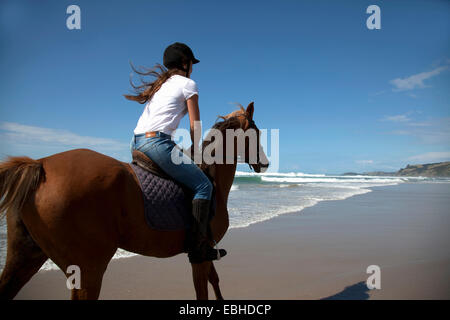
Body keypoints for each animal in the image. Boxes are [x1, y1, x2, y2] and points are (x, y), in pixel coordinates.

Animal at [0, 102, 268, 300]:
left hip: (25, 257)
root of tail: (39, 164)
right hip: (88, 270)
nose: (265, 164)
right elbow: (203, 290)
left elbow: (215, 281)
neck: (211, 180)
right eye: (255, 132)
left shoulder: (205, 251)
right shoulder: (200, 254)